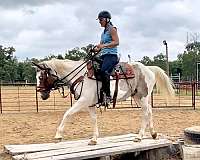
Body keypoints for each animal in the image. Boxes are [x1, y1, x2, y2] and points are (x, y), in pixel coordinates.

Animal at [33, 57, 174, 145]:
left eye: (41, 77)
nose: (42, 94)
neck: (81, 76)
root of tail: (149, 68)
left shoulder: (83, 101)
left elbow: (67, 114)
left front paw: (58, 135)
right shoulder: (89, 104)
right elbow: (93, 119)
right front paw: (94, 139)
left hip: (142, 97)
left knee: (145, 113)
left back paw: (139, 137)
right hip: (137, 97)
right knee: (149, 111)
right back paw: (153, 133)